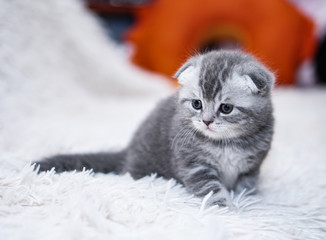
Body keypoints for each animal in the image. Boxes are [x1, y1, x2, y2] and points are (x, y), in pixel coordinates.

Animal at [35, 50, 276, 206]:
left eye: (226, 108)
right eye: (197, 104)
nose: (206, 121)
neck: (226, 142)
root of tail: (128, 153)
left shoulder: (252, 165)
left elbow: (247, 184)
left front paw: (248, 200)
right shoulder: (194, 165)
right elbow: (209, 187)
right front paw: (223, 206)